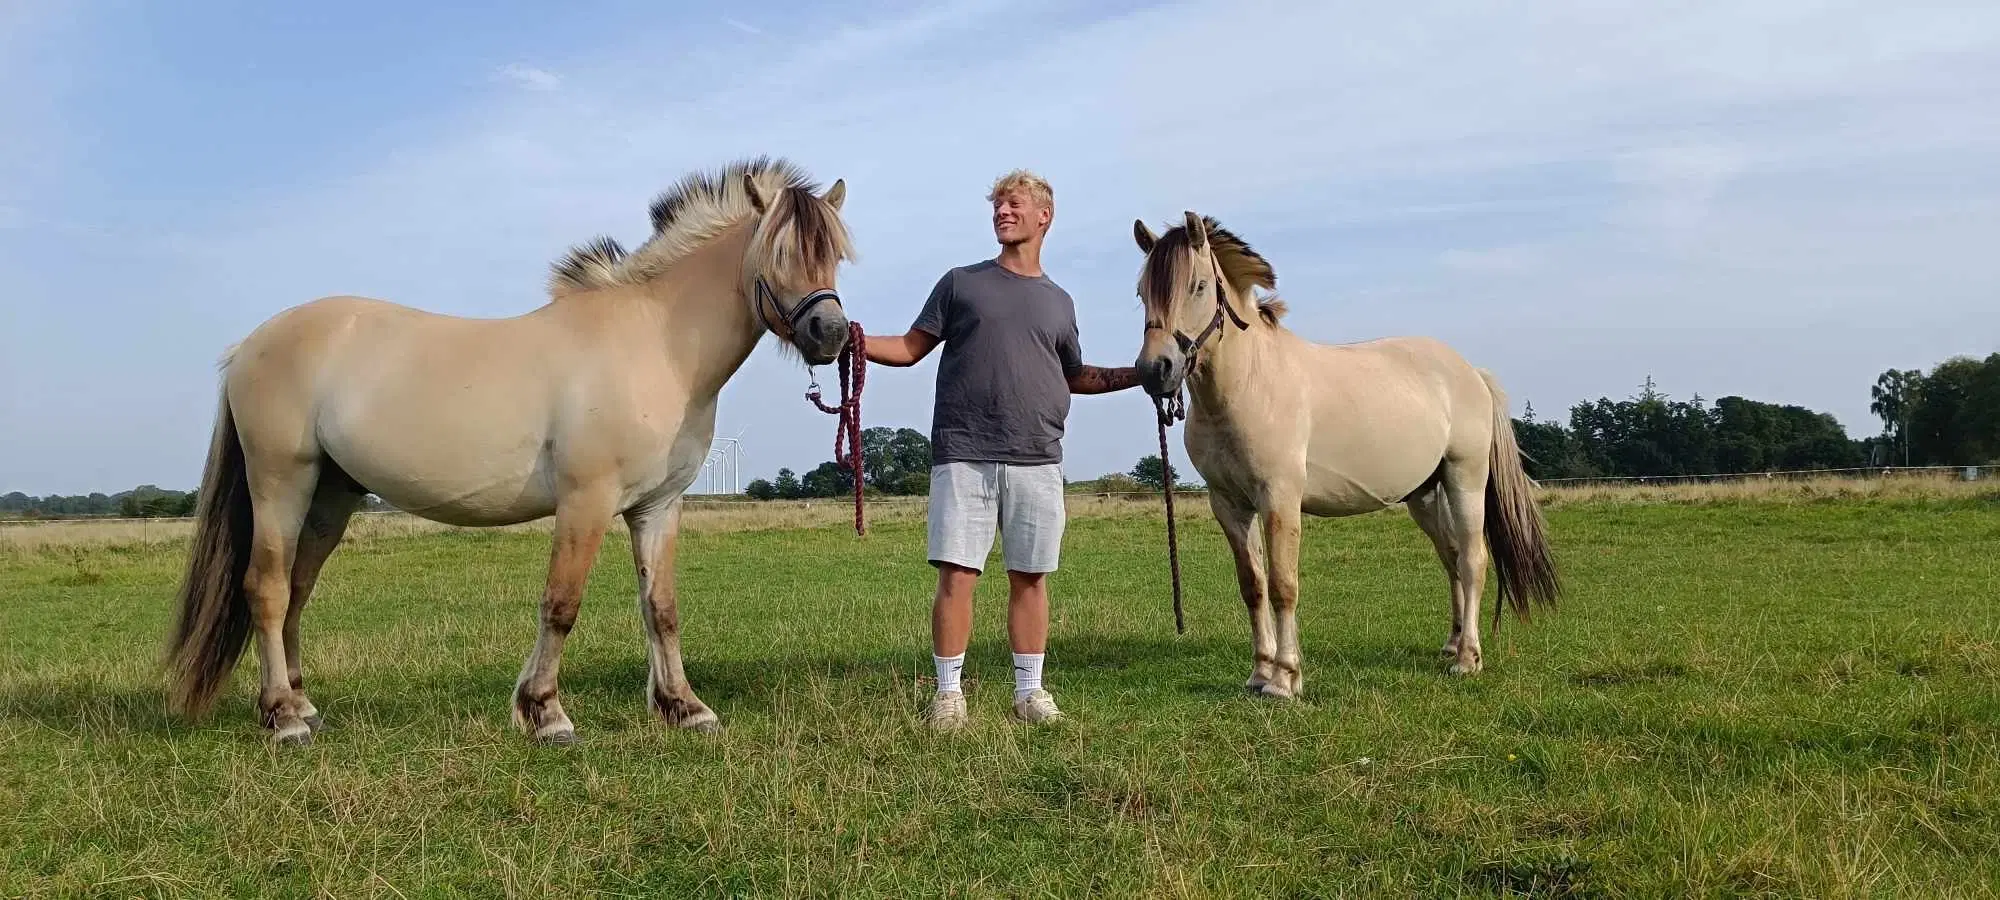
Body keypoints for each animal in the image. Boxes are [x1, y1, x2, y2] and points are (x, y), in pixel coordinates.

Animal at [168, 156, 856, 744]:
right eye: (779, 254)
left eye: (833, 258)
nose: (830, 333)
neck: (653, 345)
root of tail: (248, 346)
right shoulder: (586, 501)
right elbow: (561, 602)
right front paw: (544, 712)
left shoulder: (658, 506)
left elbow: (660, 607)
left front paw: (683, 707)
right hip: (281, 483)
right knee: (267, 588)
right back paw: (283, 718)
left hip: (330, 495)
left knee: (298, 587)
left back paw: (302, 703)